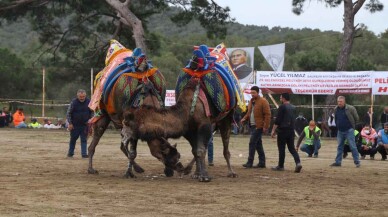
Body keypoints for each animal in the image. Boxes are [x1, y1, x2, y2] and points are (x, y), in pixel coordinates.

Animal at [87, 39, 183, 177]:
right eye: (167, 157)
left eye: (177, 156)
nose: (171, 171)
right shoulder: (132, 126)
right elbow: (132, 152)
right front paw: (129, 173)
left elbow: (129, 149)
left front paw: (133, 170)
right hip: (103, 114)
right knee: (95, 140)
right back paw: (91, 169)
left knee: (120, 145)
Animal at [122, 43, 246, 181]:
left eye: (127, 123)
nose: (123, 135)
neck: (185, 111)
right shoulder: (189, 130)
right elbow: (196, 150)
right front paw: (198, 174)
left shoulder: (204, 124)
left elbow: (201, 149)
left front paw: (204, 176)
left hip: (226, 116)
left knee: (225, 146)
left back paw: (231, 172)